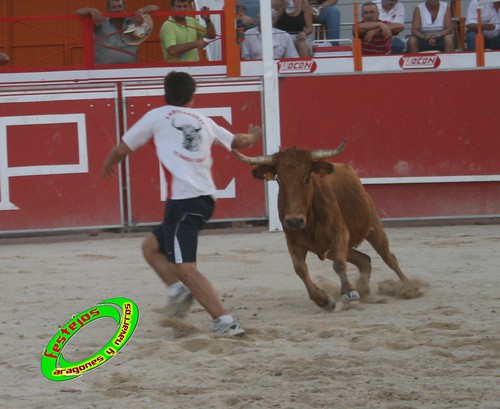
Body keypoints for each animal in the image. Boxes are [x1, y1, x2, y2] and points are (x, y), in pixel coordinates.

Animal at [232, 139, 420, 310]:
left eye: (308, 178)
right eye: (279, 181)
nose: (294, 221)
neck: (310, 220)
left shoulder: (339, 233)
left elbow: (338, 265)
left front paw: (348, 292)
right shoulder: (293, 242)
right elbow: (300, 270)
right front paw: (323, 300)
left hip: (373, 228)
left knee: (388, 257)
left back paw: (409, 288)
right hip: (330, 250)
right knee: (364, 259)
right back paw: (365, 290)